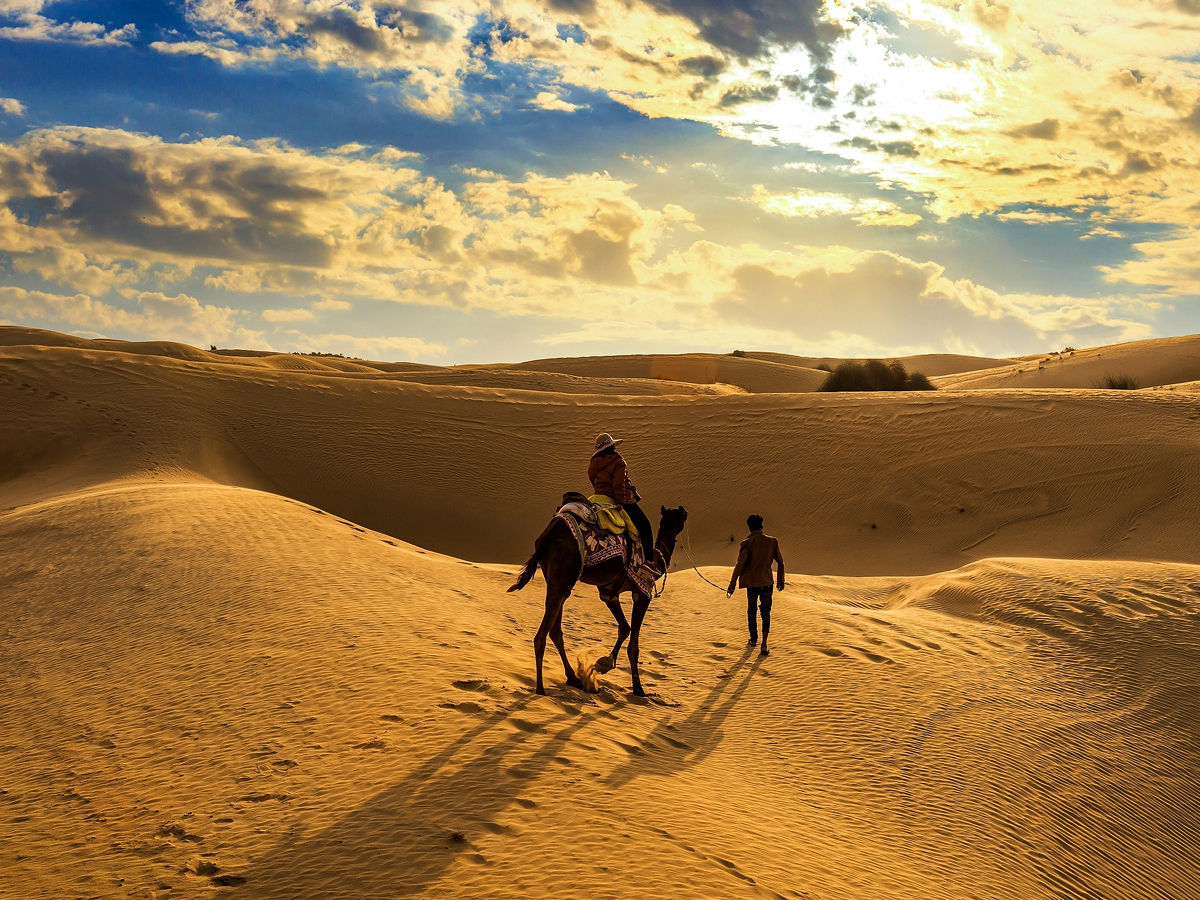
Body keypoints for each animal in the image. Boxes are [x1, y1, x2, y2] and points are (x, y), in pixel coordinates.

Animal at [508, 508, 691, 696]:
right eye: (681, 516)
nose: (685, 512)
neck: (657, 560)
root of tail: (548, 535)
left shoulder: (608, 593)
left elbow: (624, 628)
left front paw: (604, 663)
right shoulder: (642, 593)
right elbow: (633, 645)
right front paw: (638, 688)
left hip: (555, 581)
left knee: (555, 631)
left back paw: (573, 678)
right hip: (563, 575)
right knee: (541, 636)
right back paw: (541, 689)